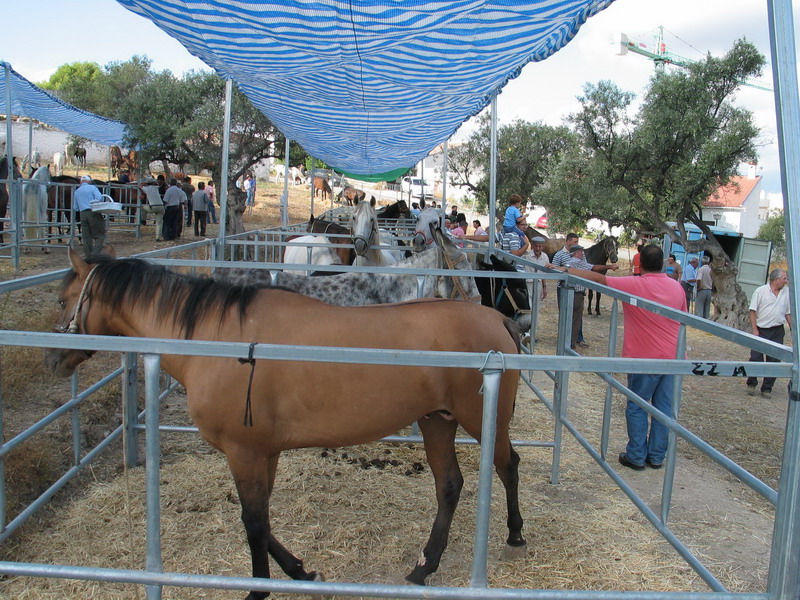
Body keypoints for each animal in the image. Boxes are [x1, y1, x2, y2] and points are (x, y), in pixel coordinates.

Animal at [47, 246, 528, 596]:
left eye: (63, 299)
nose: (53, 358)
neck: (219, 340)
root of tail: (498, 320)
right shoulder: (264, 452)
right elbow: (261, 517)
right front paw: (299, 570)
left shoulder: (243, 452)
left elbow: (253, 523)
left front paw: (260, 588)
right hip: (436, 421)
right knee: (449, 485)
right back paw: (425, 566)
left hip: (481, 420)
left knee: (508, 466)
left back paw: (514, 536)